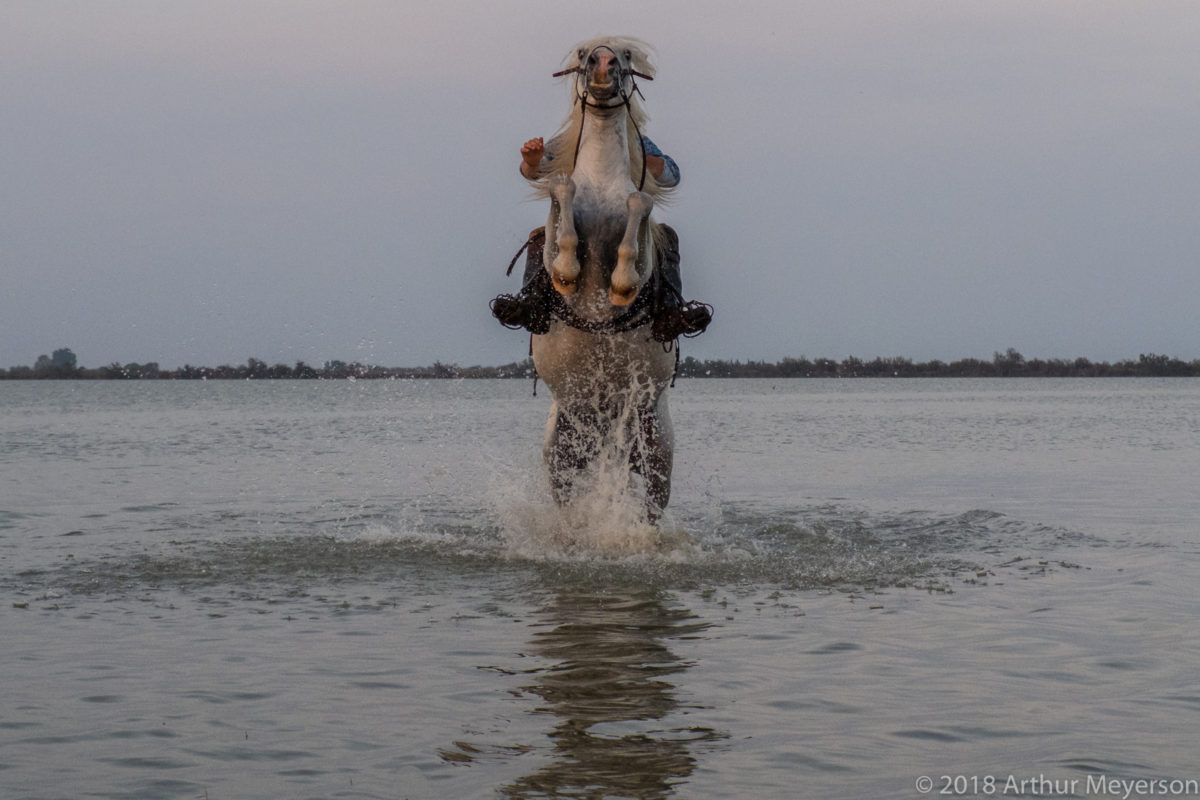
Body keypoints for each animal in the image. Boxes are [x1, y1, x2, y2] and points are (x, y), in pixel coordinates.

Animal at [532, 37, 681, 522]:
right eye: (583, 54)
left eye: (627, 55)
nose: (602, 63)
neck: (600, 179)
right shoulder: (557, 222)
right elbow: (561, 189)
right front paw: (566, 272)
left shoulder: (643, 234)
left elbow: (640, 202)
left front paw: (620, 285)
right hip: (561, 456)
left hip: (655, 455)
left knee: (652, 509)